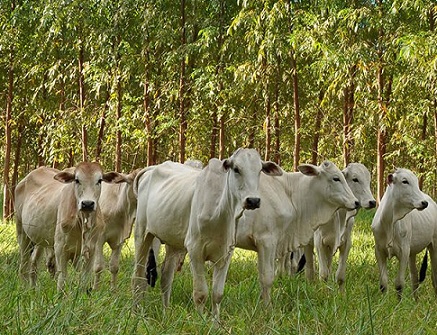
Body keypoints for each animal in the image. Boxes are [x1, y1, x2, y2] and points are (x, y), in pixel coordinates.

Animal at [14, 163, 127, 292]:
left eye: (99, 180)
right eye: (77, 180)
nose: (87, 204)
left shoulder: (92, 249)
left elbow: (84, 279)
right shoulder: (60, 247)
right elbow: (62, 277)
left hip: (40, 239)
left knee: (34, 262)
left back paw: (33, 289)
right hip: (22, 233)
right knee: (23, 264)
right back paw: (24, 287)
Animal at [132, 148, 280, 322]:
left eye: (259, 170)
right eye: (236, 169)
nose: (253, 201)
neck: (219, 215)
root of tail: (151, 169)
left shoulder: (226, 254)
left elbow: (217, 294)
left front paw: (215, 323)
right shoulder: (195, 251)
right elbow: (200, 293)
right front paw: (200, 321)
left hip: (173, 243)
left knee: (166, 277)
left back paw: (165, 313)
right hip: (142, 234)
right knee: (138, 276)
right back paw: (136, 312)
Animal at [233, 161, 360, 306]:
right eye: (336, 178)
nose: (356, 202)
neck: (289, 192)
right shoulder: (266, 241)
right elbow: (267, 277)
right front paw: (267, 307)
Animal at [370, 168, 434, 300]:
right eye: (405, 181)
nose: (424, 203)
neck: (390, 222)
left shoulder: (403, 251)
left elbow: (399, 284)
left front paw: (398, 303)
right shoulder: (379, 251)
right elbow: (383, 283)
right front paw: (383, 302)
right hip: (412, 253)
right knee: (414, 277)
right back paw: (415, 301)